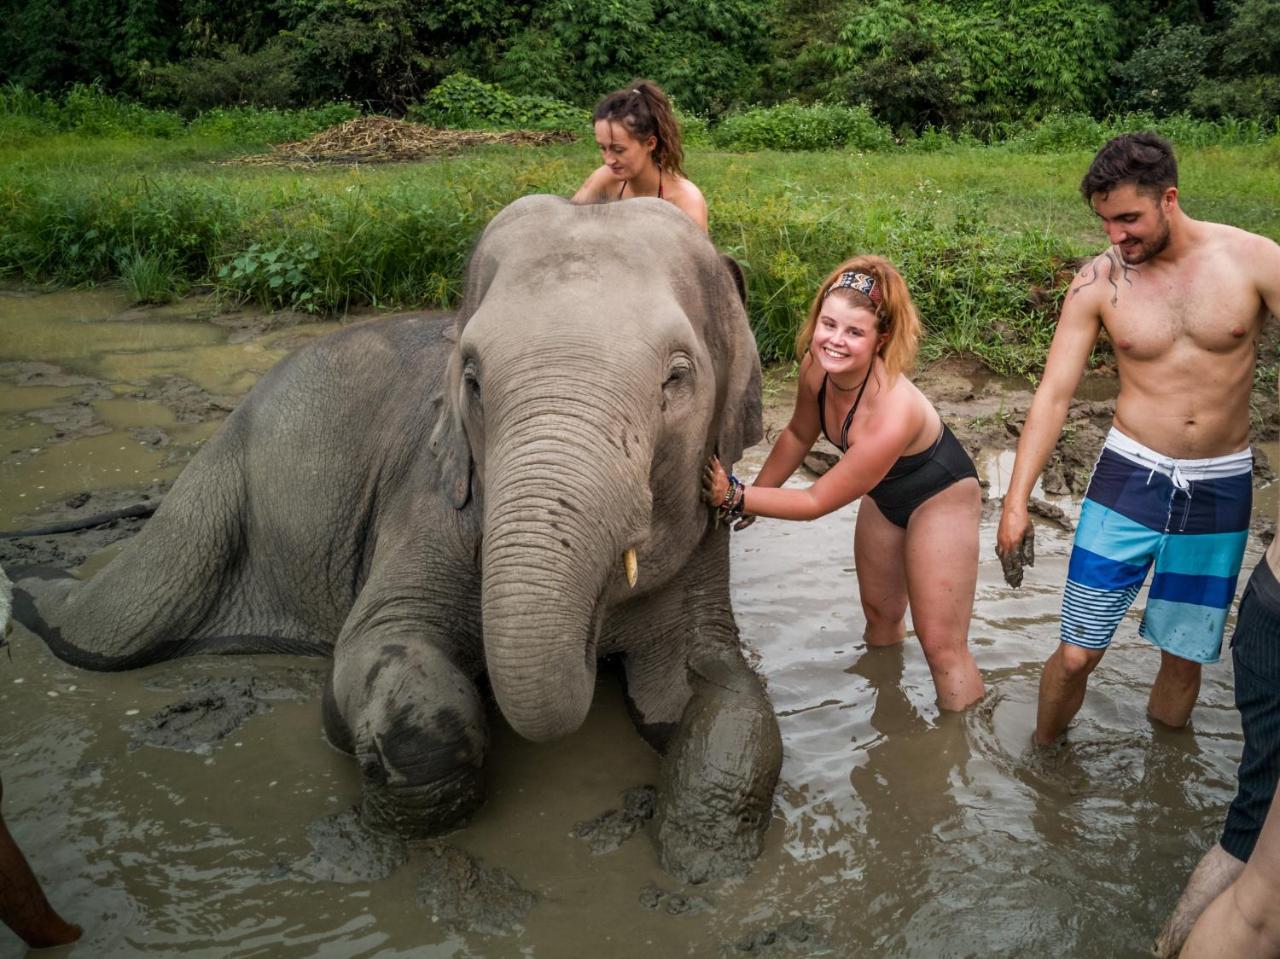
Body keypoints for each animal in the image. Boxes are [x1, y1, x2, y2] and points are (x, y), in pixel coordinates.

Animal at [12, 192, 778, 880]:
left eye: (675, 378)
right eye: (472, 378)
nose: (597, 656)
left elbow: (717, 686)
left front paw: (703, 865)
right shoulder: (427, 495)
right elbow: (378, 656)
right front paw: (404, 815)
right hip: (215, 491)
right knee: (112, 628)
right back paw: (31, 587)